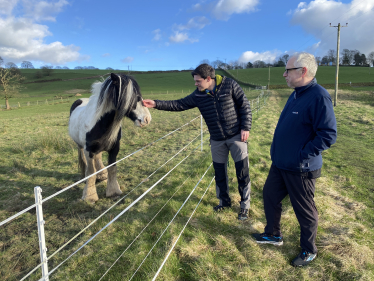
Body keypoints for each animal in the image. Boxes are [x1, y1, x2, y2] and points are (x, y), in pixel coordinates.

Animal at [68, 73, 150, 201]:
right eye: (130, 97)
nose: (146, 119)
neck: (98, 123)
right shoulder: (88, 150)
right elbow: (91, 172)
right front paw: (89, 196)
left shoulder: (114, 149)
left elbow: (112, 169)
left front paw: (113, 191)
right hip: (80, 146)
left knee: (98, 157)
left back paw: (102, 175)